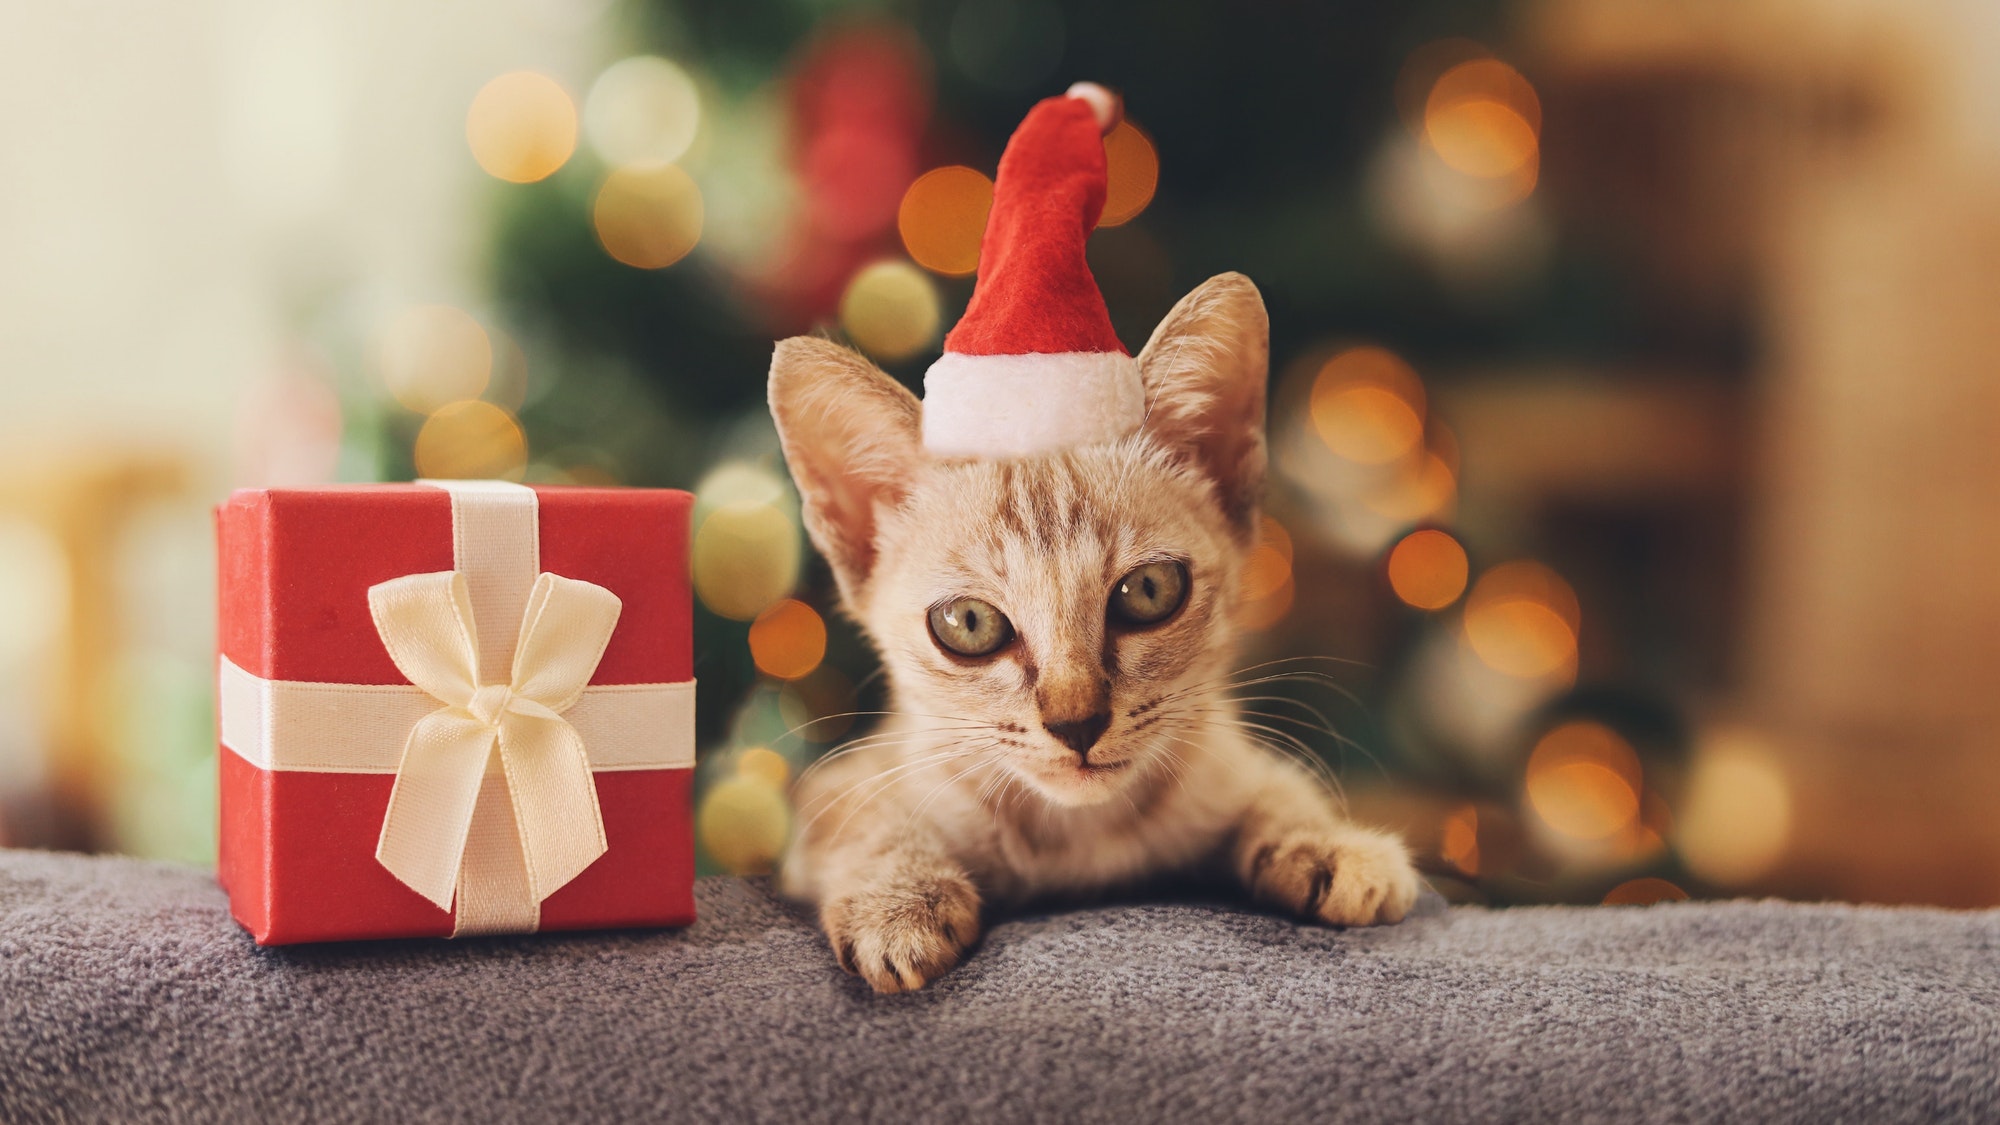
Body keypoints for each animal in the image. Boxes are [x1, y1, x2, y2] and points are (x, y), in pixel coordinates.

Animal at [764, 272, 1424, 988]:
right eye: (968, 624)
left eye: (1149, 591)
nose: (1076, 724)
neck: (1081, 837)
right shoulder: (845, 783)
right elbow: (869, 822)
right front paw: (898, 901)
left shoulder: (1221, 756)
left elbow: (1278, 787)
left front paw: (1332, 844)